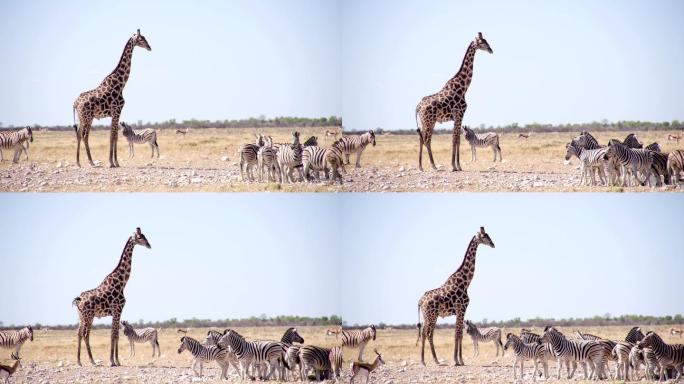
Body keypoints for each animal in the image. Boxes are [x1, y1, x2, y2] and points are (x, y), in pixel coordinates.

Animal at [72, 228, 151, 366]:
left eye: (144, 236)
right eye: (140, 237)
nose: (149, 245)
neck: (122, 283)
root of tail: (78, 299)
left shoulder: (117, 312)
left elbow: (115, 334)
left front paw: (116, 360)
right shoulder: (117, 310)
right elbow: (114, 334)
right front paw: (113, 361)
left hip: (82, 316)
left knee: (80, 333)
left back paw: (81, 361)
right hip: (88, 316)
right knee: (85, 334)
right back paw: (90, 361)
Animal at [73, 29, 152, 167]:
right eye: (141, 39)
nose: (149, 47)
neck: (120, 84)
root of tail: (75, 102)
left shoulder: (116, 113)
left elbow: (115, 136)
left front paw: (116, 162)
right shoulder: (116, 111)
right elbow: (113, 135)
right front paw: (111, 162)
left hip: (81, 117)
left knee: (78, 134)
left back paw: (78, 163)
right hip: (88, 117)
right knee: (85, 135)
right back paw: (91, 162)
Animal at [414, 226, 494, 368]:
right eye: (484, 236)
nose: (493, 244)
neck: (465, 282)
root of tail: (420, 301)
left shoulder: (460, 310)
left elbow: (459, 334)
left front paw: (460, 360)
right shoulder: (461, 308)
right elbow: (458, 334)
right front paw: (457, 360)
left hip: (427, 316)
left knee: (425, 333)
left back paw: (429, 360)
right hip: (432, 315)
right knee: (427, 333)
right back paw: (429, 360)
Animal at [416, 32, 492, 171]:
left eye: (486, 40)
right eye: (482, 42)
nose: (491, 50)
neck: (463, 88)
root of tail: (417, 107)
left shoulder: (458, 116)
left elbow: (457, 139)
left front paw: (457, 165)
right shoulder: (459, 114)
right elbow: (455, 139)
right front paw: (455, 166)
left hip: (426, 121)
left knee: (422, 138)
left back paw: (421, 166)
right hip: (429, 121)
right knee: (426, 139)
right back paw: (433, 165)